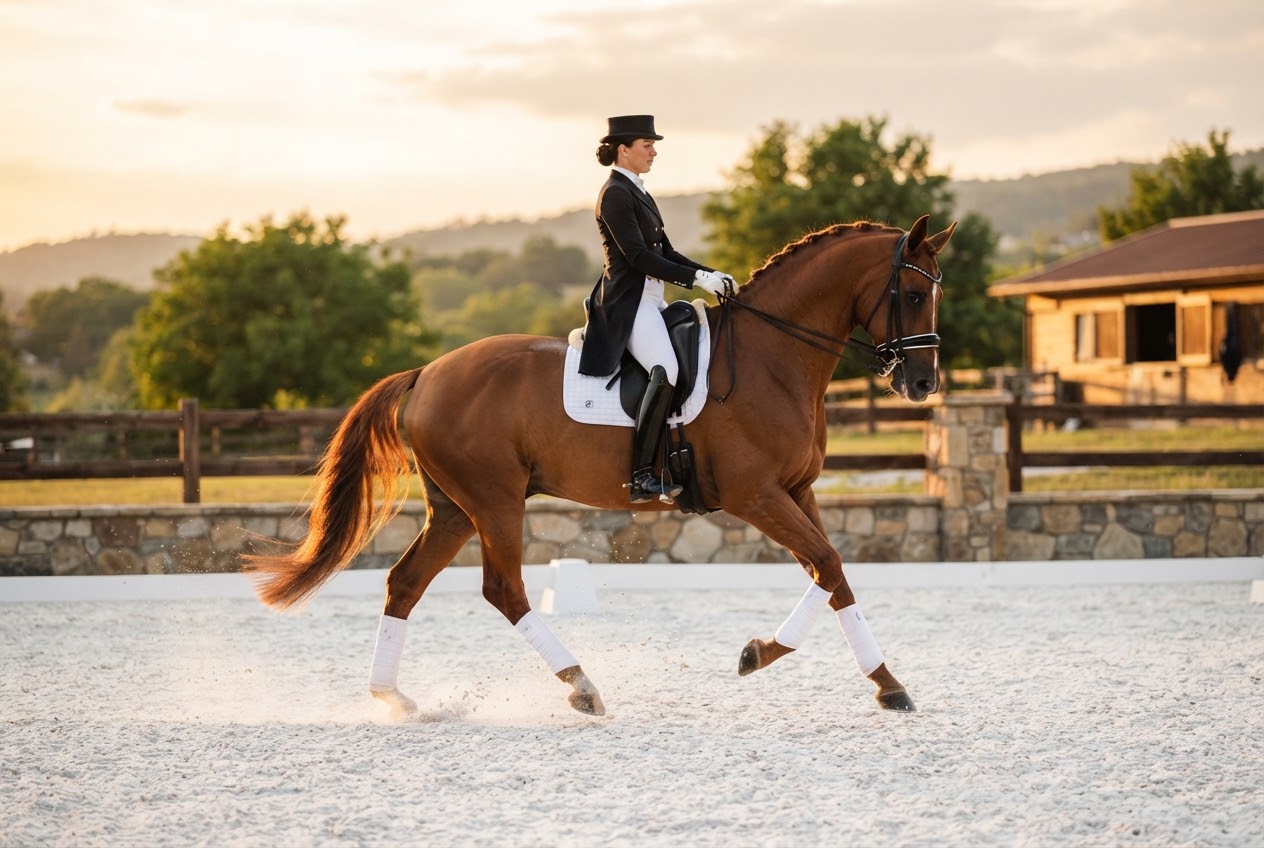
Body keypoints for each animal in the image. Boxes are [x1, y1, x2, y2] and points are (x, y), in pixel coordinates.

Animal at [243, 214, 956, 718]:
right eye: (910, 294)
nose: (923, 384)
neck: (772, 357)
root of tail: (425, 374)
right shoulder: (755, 495)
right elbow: (828, 564)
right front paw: (760, 655)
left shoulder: (798, 491)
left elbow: (832, 573)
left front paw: (887, 685)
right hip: (495, 501)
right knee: (503, 590)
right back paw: (582, 687)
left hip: (454, 508)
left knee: (404, 583)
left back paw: (393, 699)